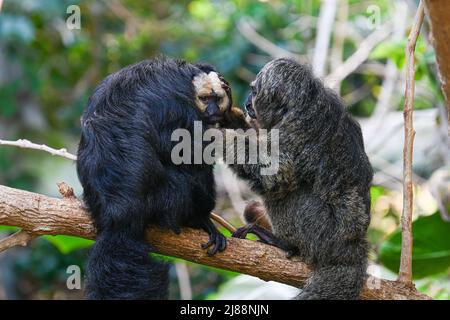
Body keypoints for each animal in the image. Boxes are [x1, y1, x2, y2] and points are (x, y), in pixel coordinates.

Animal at [78, 56, 241, 298]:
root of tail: (119, 212)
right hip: (169, 197)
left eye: (216, 99)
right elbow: (187, 152)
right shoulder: (179, 103)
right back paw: (198, 219)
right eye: (205, 99)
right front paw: (204, 220)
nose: (212, 110)